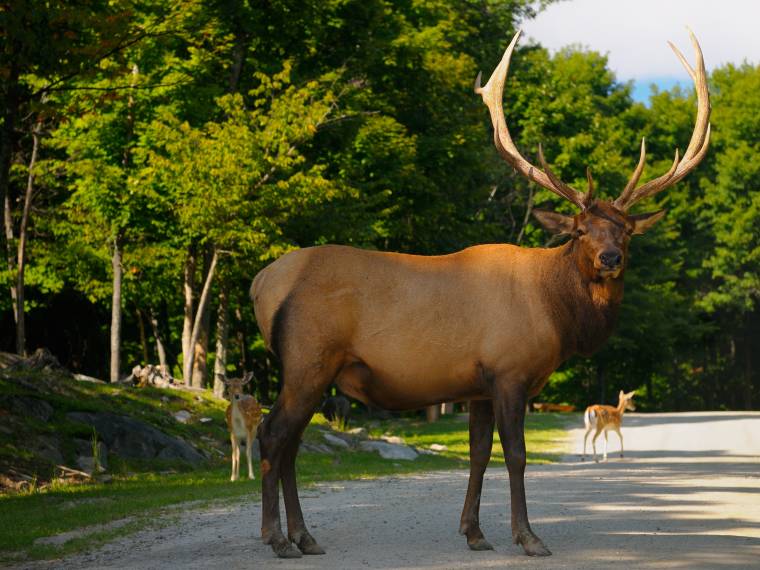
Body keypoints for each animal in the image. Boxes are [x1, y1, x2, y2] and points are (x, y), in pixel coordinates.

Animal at [252, 28, 708, 556]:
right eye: (579, 230)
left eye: (627, 231)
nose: (610, 259)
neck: (558, 315)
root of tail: (260, 284)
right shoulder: (509, 371)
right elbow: (515, 455)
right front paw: (528, 537)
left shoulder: (477, 386)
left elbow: (477, 456)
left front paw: (474, 532)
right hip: (308, 358)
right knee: (272, 434)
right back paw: (277, 538)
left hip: (312, 370)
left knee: (290, 443)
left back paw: (304, 537)